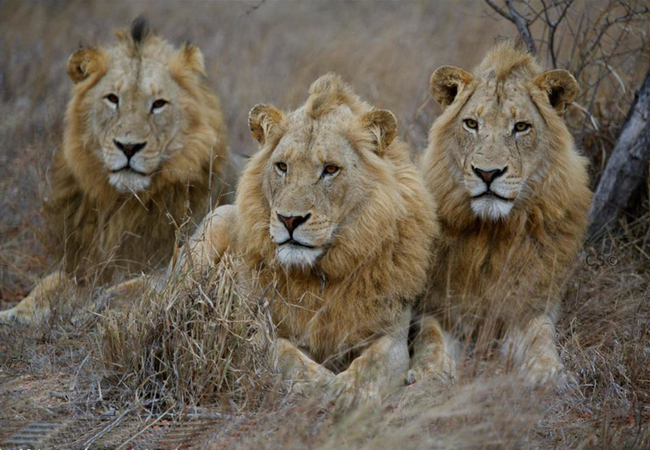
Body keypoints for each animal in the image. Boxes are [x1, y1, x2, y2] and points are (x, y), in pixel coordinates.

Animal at [0, 18, 233, 325]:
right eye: (112, 99)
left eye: (159, 103)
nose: (129, 146)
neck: (124, 205)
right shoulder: (88, 267)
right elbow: (53, 280)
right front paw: (14, 313)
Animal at [174, 74, 438, 408]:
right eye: (282, 166)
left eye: (330, 169)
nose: (289, 220)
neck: (320, 276)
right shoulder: (250, 327)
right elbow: (286, 356)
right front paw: (323, 386)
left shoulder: (391, 335)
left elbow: (372, 364)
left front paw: (349, 390)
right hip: (217, 220)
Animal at [408, 41, 592, 386]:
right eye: (471, 124)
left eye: (521, 127)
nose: (487, 173)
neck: (493, 234)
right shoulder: (439, 306)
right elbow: (430, 337)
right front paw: (429, 372)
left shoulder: (532, 305)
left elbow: (541, 338)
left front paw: (549, 373)